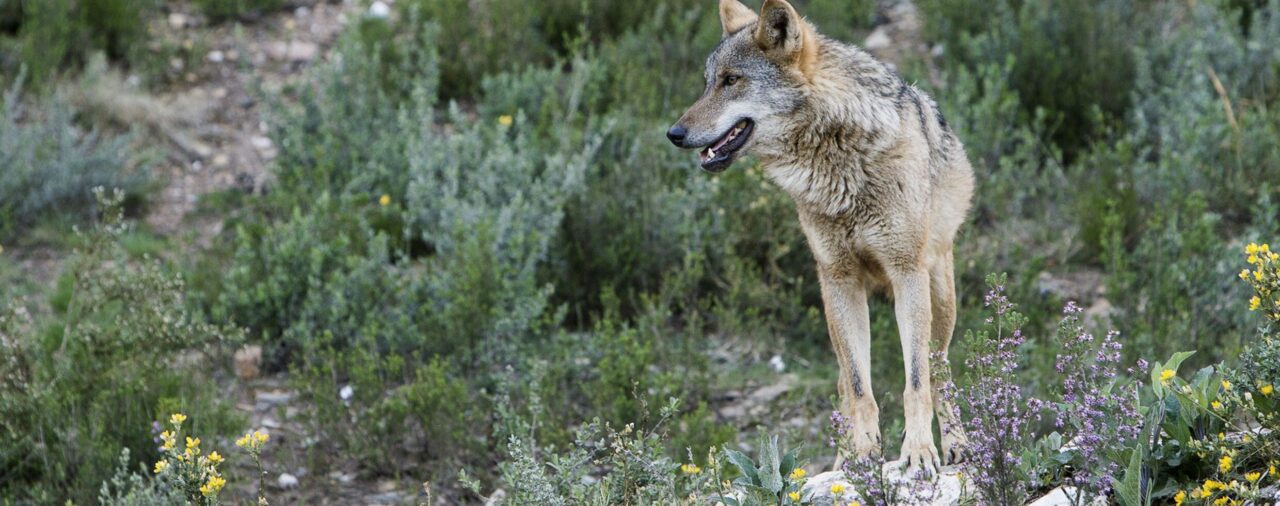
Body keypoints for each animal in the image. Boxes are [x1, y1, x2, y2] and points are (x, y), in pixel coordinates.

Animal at [665, 0, 972, 476]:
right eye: (707, 83)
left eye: (731, 80)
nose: (674, 134)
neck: (840, 161)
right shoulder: (838, 278)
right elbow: (860, 389)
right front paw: (862, 456)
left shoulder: (905, 272)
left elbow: (915, 382)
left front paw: (919, 452)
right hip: (835, 307)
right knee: (846, 383)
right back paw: (843, 457)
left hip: (939, 297)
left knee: (940, 372)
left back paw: (956, 445)